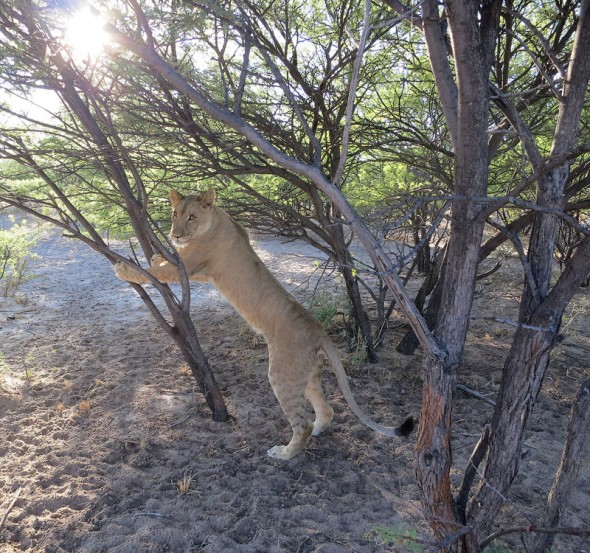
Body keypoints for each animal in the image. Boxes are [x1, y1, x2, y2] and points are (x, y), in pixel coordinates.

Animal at [115, 188, 416, 460]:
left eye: (191, 217)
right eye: (175, 214)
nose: (175, 235)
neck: (217, 219)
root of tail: (319, 330)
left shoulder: (187, 266)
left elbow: (153, 273)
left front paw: (124, 269)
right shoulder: (199, 272)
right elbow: (161, 264)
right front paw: (155, 255)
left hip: (282, 374)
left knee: (302, 423)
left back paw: (283, 453)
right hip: (308, 375)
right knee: (326, 409)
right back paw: (319, 430)